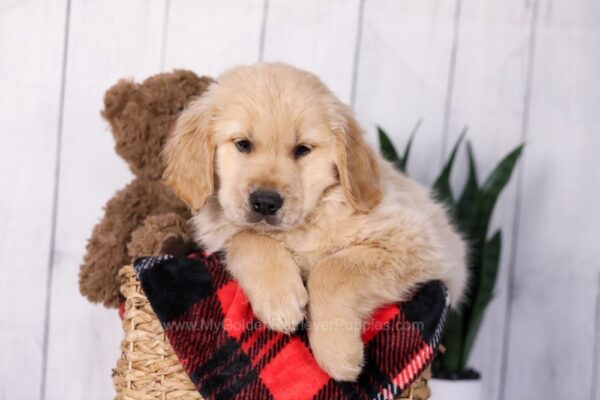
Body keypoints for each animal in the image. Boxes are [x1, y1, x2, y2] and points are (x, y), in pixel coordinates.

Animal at [164, 62, 468, 382]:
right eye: (243, 144)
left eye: (302, 149)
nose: (265, 203)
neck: (308, 221)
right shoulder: (223, 234)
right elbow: (248, 237)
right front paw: (280, 300)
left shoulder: (417, 242)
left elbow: (332, 269)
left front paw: (338, 352)